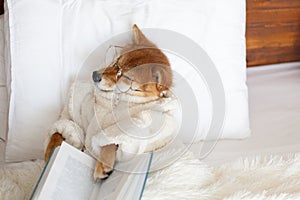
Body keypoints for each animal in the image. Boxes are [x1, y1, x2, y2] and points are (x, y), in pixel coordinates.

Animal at [44, 24, 178, 180]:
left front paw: (103, 163)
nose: (95, 75)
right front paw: (51, 151)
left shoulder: (140, 123)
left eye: (126, 77)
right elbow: (61, 129)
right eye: (116, 62)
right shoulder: (75, 114)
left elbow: (111, 141)